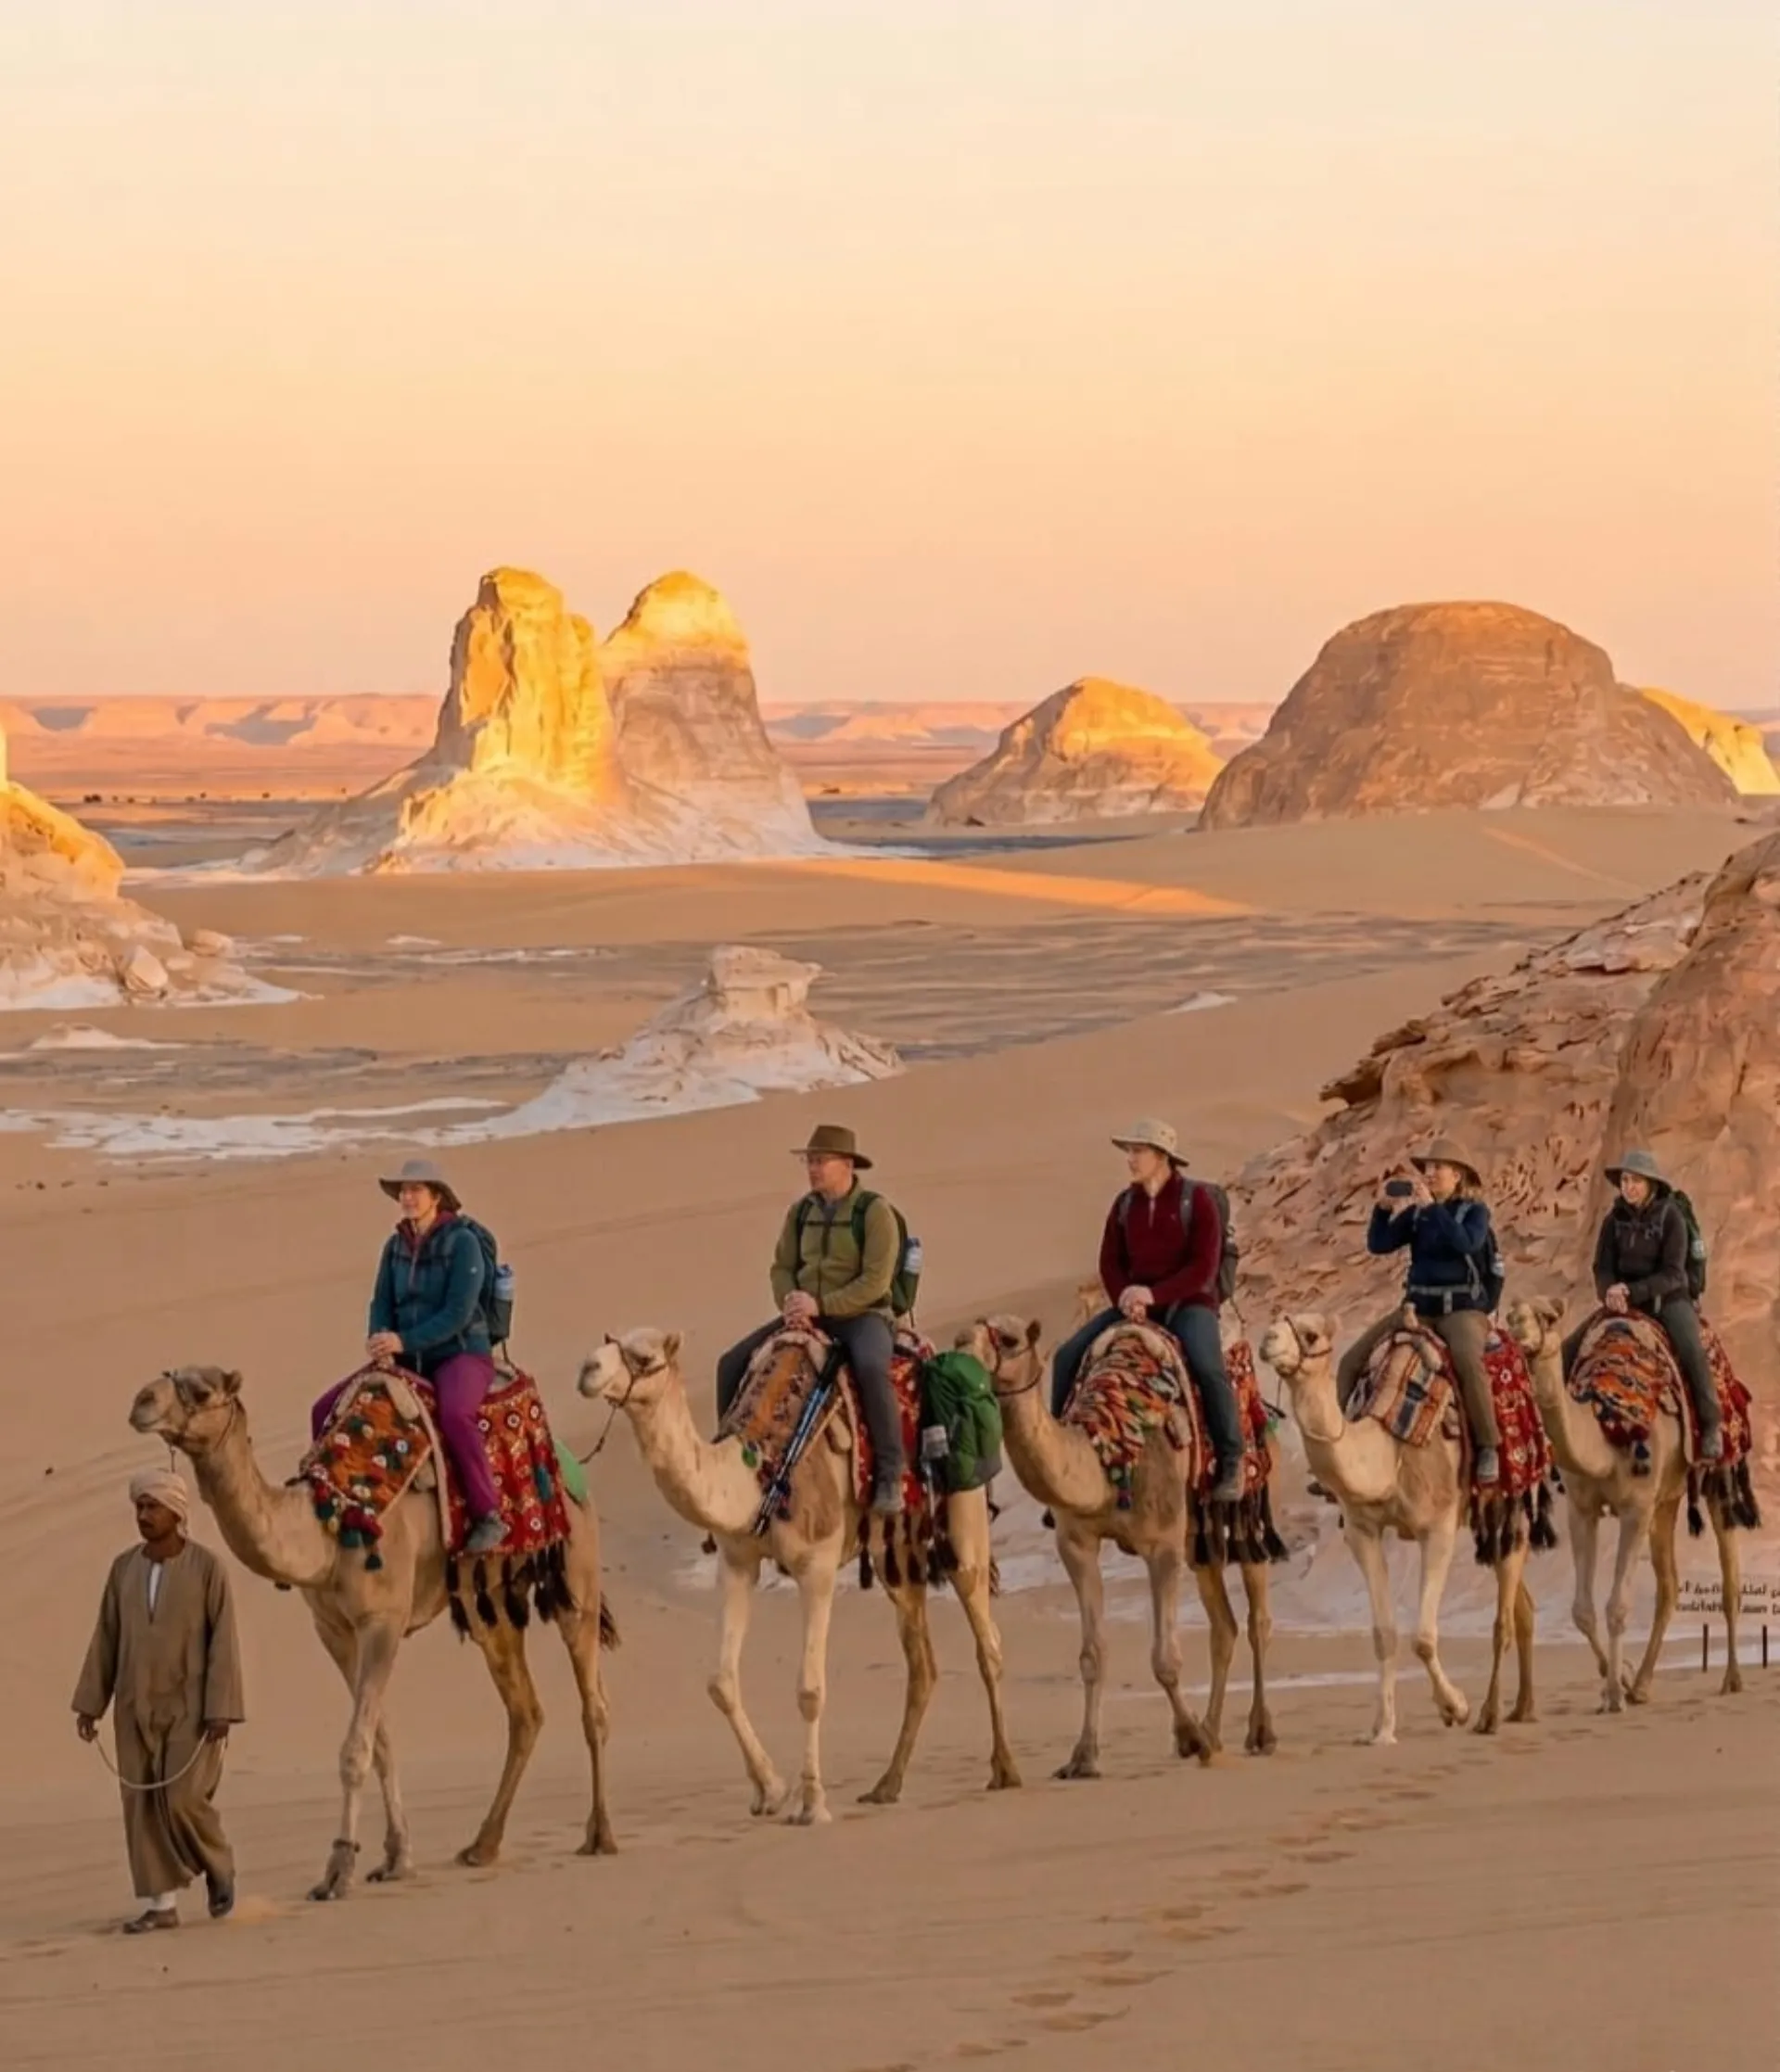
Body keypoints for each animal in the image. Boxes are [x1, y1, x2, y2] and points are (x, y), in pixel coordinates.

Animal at [128, 1365, 617, 1899]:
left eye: (201, 1391)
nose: (141, 1401)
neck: (328, 1524)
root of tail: (572, 1465)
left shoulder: (382, 1620)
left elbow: (354, 1749)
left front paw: (338, 1868)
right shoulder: (334, 1630)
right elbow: (380, 1742)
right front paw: (396, 1856)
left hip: (576, 1571)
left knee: (592, 1703)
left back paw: (600, 1835)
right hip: (486, 1607)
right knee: (526, 1711)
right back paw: (482, 1845)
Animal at [578, 1328, 1018, 1824]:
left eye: (642, 1355)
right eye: (610, 1339)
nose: (588, 1369)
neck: (757, 1475)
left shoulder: (817, 1565)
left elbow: (809, 1689)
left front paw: (812, 1803)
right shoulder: (737, 1560)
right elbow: (720, 1683)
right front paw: (770, 1790)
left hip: (964, 1512)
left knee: (986, 1638)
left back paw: (1004, 1769)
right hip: (895, 1553)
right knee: (921, 1662)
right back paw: (886, 1785)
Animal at [960, 1308, 1278, 1778]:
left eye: (1009, 1339)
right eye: (959, 1339)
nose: (963, 1366)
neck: (1107, 1450)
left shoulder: (1161, 1544)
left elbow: (1164, 1659)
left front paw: (1191, 1739)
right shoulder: (1076, 1544)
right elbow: (1092, 1655)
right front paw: (1083, 1756)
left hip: (1246, 1502)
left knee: (1258, 1618)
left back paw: (1260, 1733)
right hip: (1196, 1536)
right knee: (1224, 1625)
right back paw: (1215, 1731)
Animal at [1258, 1315, 1536, 1744]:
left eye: (1310, 1335)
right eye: (1276, 1322)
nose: (1267, 1339)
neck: (1389, 1451)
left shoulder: (1437, 1526)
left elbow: (1422, 1637)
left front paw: (1455, 1708)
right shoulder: (1361, 1532)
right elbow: (1383, 1635)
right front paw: (1382, 1730)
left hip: (1512, 1498)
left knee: (1503, 1615)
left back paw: (1490, 1714)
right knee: (1522, 1605)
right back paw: (1523, 1708)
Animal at [1506, 1296, 1745, 1709]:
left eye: (1547, 1317)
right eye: (1510, 1315)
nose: (1520, 1329)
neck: (1607, 1425)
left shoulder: (1636, 1508)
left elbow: (1617, 1605)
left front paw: (1615, 1695)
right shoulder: (1582, 1509)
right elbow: (1581, 1611)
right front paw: (1619, 1679)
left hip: (1717, 1475)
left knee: (1729, 1578)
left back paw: (1731, 1678)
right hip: (1665, 1501)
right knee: (1668, 1585)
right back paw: (1644, 1684)